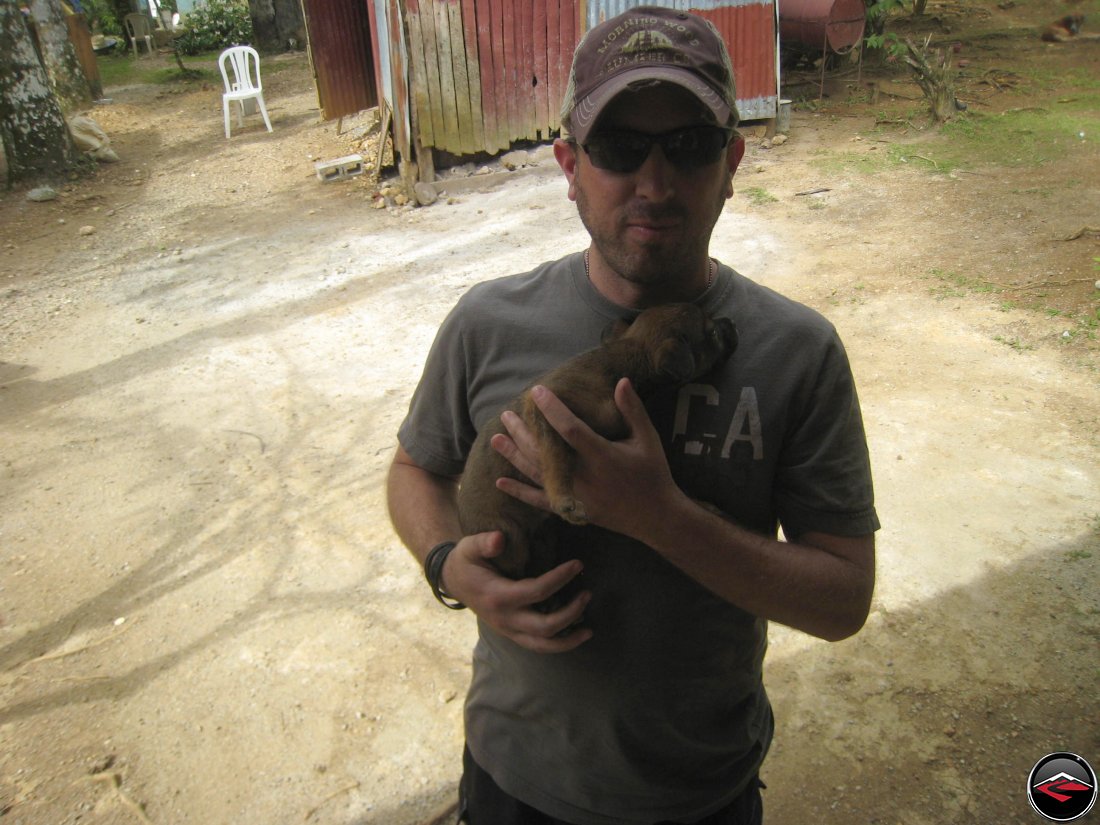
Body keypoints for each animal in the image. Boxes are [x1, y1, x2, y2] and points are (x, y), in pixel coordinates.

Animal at [455, 303, 739, 580]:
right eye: (713, 333)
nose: (732, 323)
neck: (624, 361)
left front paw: (703, 505)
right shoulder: (545, 407)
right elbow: (558, 460)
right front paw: (563, 500)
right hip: (509, 539)